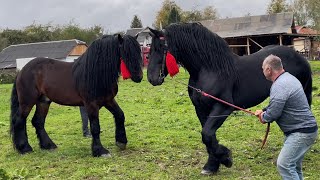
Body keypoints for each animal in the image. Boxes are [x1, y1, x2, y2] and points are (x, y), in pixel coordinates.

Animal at [10, 34, 142, 157]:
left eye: (139, 51)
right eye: (126, 52)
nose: (139, 77)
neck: (95, 73)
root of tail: (22, 71)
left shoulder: (108, 100)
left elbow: (120, 115)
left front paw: (121, 142)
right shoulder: (91, 104)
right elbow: (95, 127)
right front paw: (100, 151)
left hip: (43, 101)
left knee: (38, 121)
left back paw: (48, 145)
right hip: (27, 101)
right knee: (19, 120)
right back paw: (25, 148)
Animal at [148, 23, 312, 175]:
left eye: (160, 47)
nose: (152, 78)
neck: (210, 69)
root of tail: (299, 56)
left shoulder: (223, 107)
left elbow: (207, 135)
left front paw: (226, 158)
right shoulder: (201, 109)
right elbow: (208, 137)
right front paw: (212, 166)